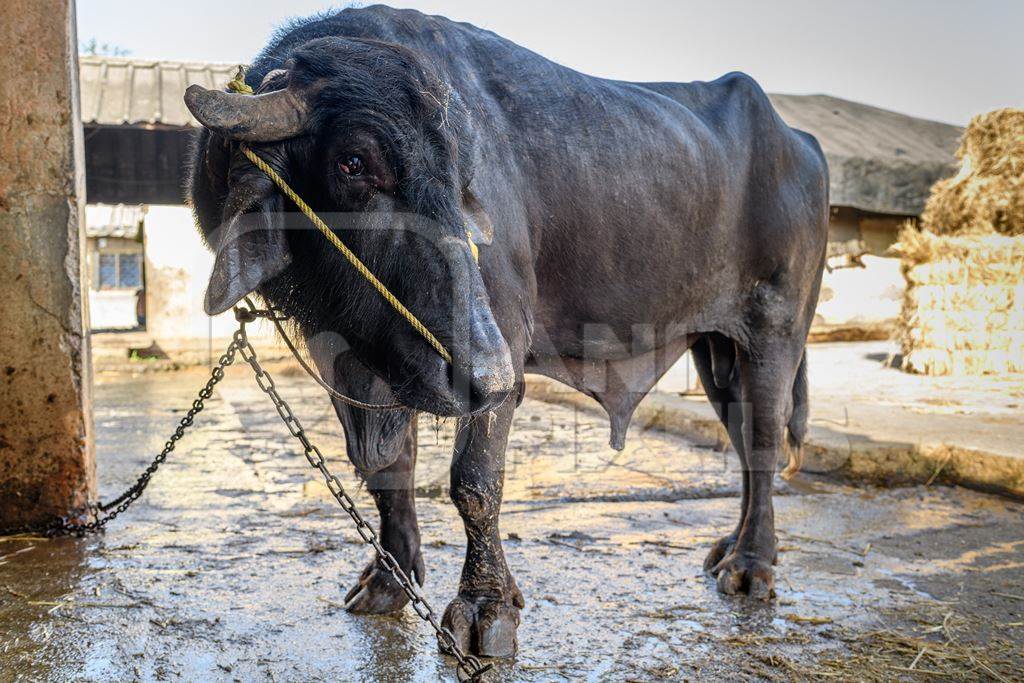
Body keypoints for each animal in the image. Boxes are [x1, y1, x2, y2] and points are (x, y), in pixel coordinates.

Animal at [182, 3, 823, 655]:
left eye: (462, 174)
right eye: (353, 163)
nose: (484, 374)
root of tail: (798, 143)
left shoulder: (502, 340)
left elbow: (474, 481)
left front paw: (486, 608)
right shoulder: (360, 355)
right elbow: (388, 470)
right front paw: (390, 580)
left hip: (776, 330)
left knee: (764, 438)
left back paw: (751, 565)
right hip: (716, 348)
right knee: (742, 435)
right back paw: (731, 549)